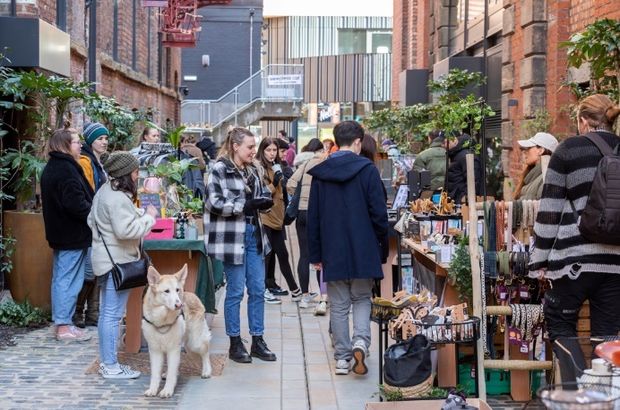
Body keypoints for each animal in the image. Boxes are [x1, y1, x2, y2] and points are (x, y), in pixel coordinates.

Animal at [142, 264, 212, 398]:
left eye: (177, 290)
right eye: (166, 291)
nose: (179, 305)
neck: (162, 321)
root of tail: (192, 295)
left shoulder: (173, 348)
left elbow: (171, 374)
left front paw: (167, 390)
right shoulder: (155, 350)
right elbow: (155, 374)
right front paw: (153, 389)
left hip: (195, 343)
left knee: (205, 352)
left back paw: (207, 371)